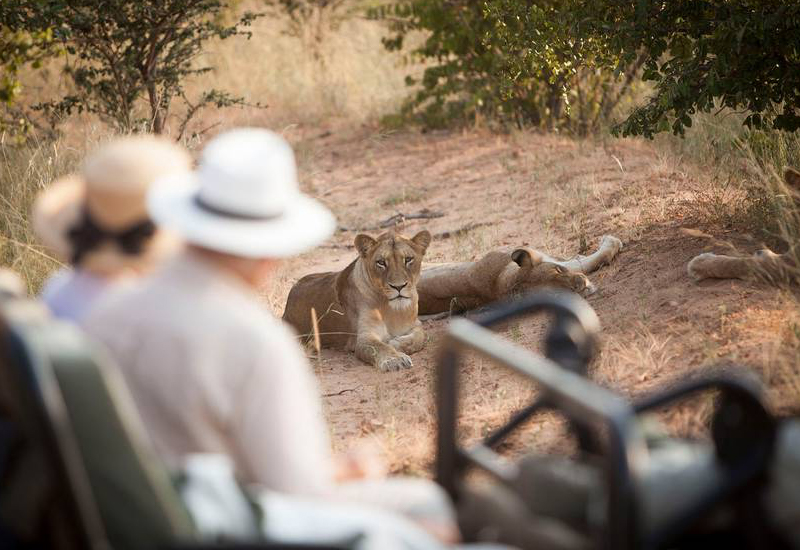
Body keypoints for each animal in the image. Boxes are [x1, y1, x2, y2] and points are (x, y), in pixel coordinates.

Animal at [283, 230, 431, 372]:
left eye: (408, 259)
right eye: (381, 262)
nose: (399, 286)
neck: (393, 310)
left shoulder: (414, 324)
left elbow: (421, 336)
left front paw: (396, 343)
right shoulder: (364, 338)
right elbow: (379, 347)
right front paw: (395, 360)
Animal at [416, 234, 623, 315]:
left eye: (557, 270)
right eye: (560, 296)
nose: (581, 285)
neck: (500, 284)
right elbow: (581, 262)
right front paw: (612, 243)